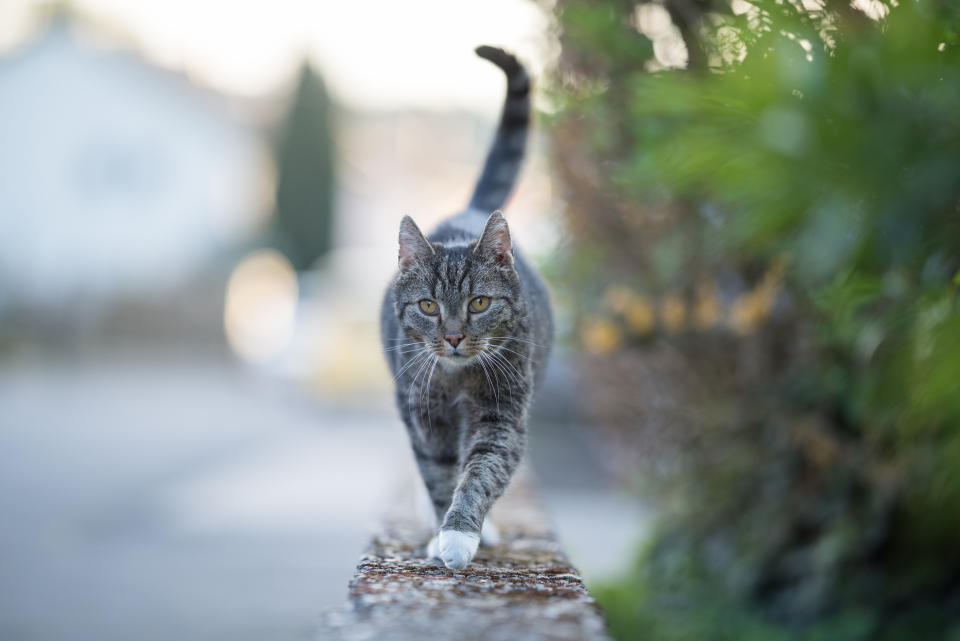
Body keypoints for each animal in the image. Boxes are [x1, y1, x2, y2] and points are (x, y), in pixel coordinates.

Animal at [378, 46, 552, 568]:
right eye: (428, 305)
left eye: (479, 302)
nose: (454, 337)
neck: (458, 381)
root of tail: (468, 213)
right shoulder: (423, 413)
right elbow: (438, 474)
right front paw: (442, 534)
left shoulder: (503, 413)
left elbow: (481, 472)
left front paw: (460, 534)